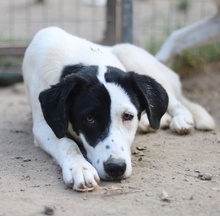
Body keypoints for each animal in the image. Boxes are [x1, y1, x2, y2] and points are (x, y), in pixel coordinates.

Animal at [22, 26, 215, 191]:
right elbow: (67, 143)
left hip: (130, 55)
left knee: (176, 102)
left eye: (128, 116)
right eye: (89, 118)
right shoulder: (42, 126)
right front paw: (79, 167)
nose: (116, 168)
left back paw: (180, 120)